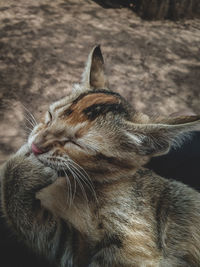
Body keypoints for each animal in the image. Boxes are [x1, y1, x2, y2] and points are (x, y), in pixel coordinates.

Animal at [1, 46, 200, 267]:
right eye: (50, 116)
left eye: (77, 143)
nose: (35, 146)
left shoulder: (129, 252)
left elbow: (45, 232)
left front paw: (22, 169)